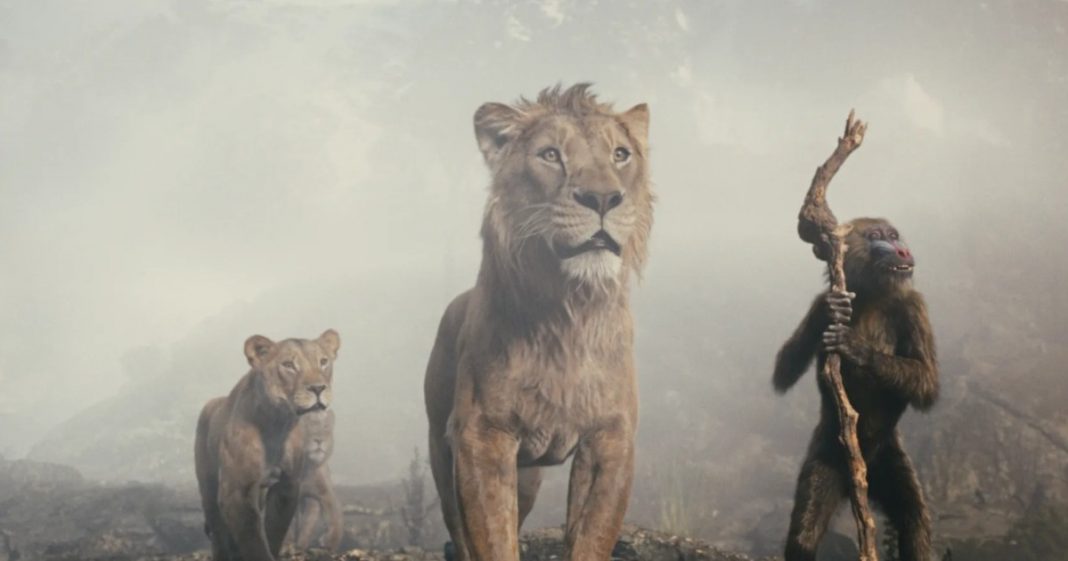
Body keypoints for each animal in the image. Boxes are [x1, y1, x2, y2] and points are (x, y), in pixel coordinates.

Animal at [291, 409, 343, 551]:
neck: (305, 468)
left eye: (325, 428)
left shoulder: (321, 494)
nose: (319, 440)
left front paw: (330, 542)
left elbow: (334, 516)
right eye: (307, 427)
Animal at [423, 84, 653, 561]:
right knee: (460, 529)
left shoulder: (611, 438)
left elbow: (591, 537)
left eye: (621, 154)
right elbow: (493, 538)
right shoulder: (482, 437)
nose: (603, 198)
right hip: (442, 448)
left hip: (527, 473)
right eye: (550, 155)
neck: (569, 313)